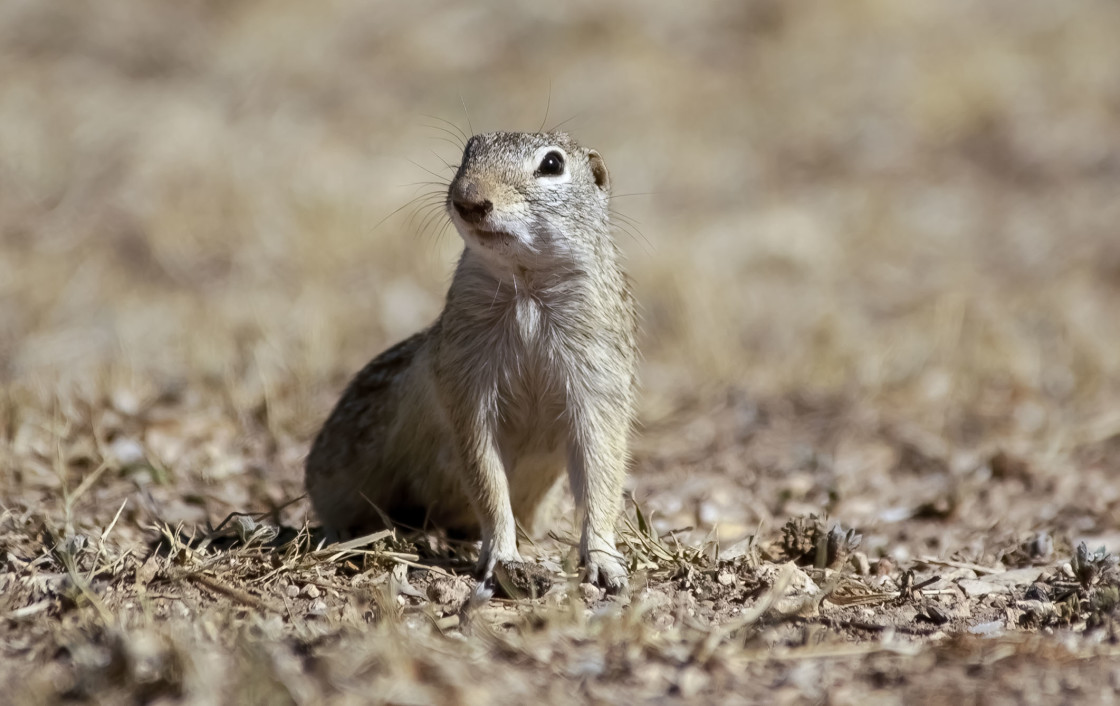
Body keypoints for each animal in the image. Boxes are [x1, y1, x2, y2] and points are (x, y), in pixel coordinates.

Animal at [306, 129, 640, 596]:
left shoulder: (598, 380)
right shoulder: (468, 387)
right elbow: (485, 475)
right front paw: (503, 556)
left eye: (552, 164)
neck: (526, 287)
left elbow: (601, 472)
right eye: (469, 150)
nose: (468, 198)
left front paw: (605, 563)